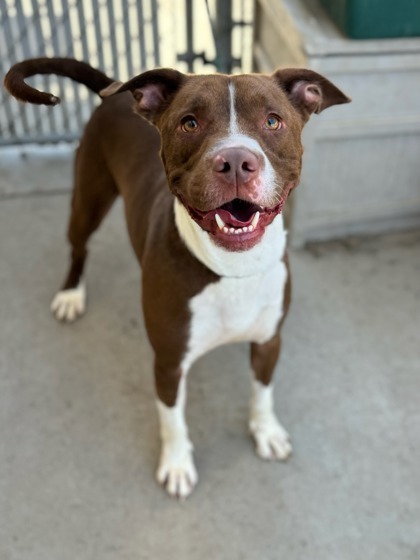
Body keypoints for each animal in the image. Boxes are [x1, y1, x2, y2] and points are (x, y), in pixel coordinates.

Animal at [4, 58, 352, 498]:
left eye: (273, 121)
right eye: (189, 123)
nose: (235, 162)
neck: (231, 270)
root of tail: (116, 90)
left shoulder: (269, 340)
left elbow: (263, 392)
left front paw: (266, 431)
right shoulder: (168, 362)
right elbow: (172, 419)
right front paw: (176, 464)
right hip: (88, 198)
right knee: (79, 245)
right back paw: (70, 293)